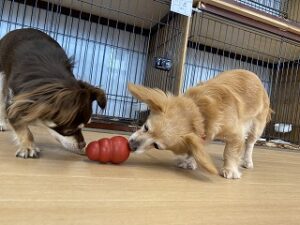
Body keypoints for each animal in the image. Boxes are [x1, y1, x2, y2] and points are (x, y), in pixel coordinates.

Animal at [0, 28, 107, 158]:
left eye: (86, 125)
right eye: (69, 131)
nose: (83, 144)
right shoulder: (16, 100)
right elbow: (21, 126)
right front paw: (28, 146)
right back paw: (2, 124)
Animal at [127, 69, 274, 178]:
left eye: (156, 146)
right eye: (146, 127)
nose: (131, 146)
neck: (200, 111)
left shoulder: (236, 134)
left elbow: (230, 152)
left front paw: (231, 170)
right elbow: (194, 146)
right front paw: (188, 161)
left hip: (257, 126)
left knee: (249, 144)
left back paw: (247, 161)